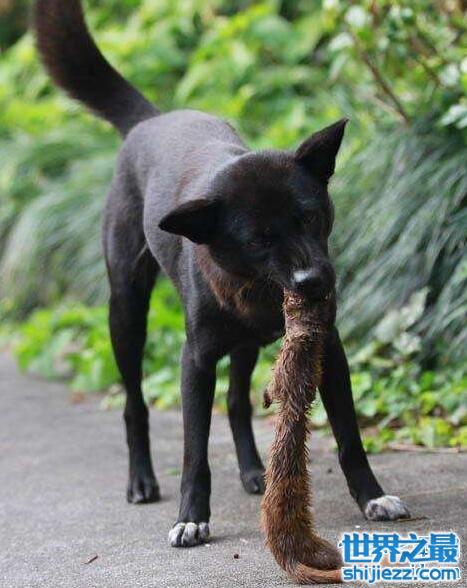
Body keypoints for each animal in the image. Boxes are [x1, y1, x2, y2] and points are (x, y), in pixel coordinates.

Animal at [35, 0, 410, 548]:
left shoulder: (329, 348)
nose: (314, 284)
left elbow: (349, 437)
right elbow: (194, 449)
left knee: (235, 402)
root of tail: (152, 119)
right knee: (134, 403)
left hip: (243, 343)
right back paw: (142, 481)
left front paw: (373, 497)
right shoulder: (195, 360)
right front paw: (191, 517)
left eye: (310, 218)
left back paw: (254, 471)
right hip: (125, 310)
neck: (260, 290)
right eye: (258, 241)